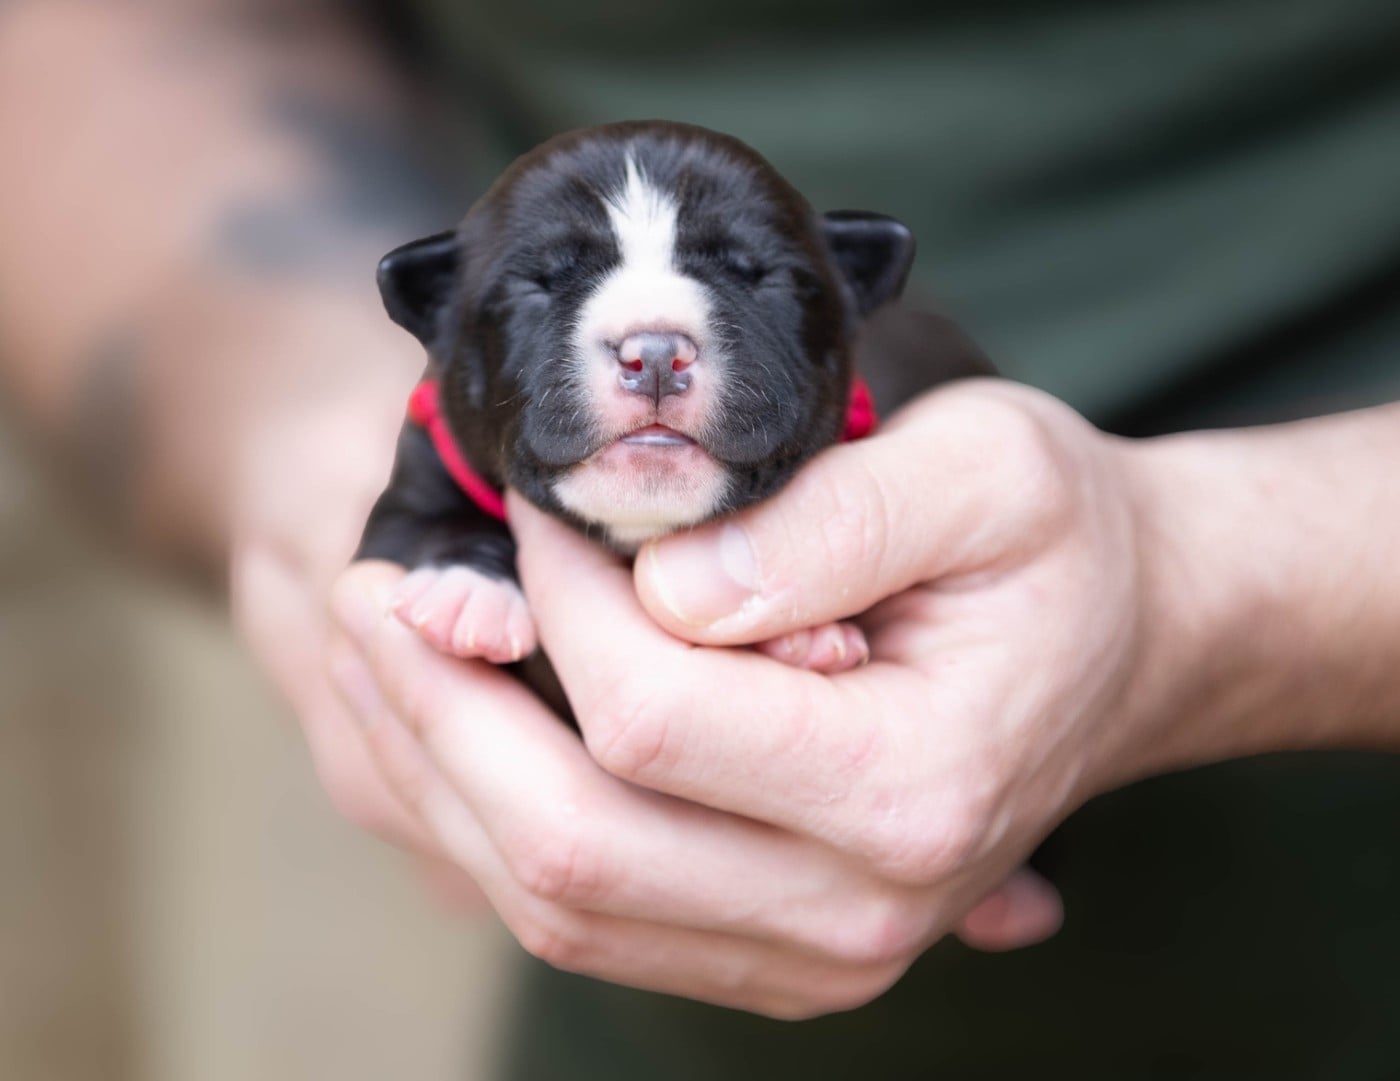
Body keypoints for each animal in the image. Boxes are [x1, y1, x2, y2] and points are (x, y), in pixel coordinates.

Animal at [357, 120, 990, 676]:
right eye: (537, 284)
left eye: (759, 276)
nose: (656, 355)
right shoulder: (418, 474)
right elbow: (417, 524)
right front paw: (466, 588)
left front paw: (804, 633)